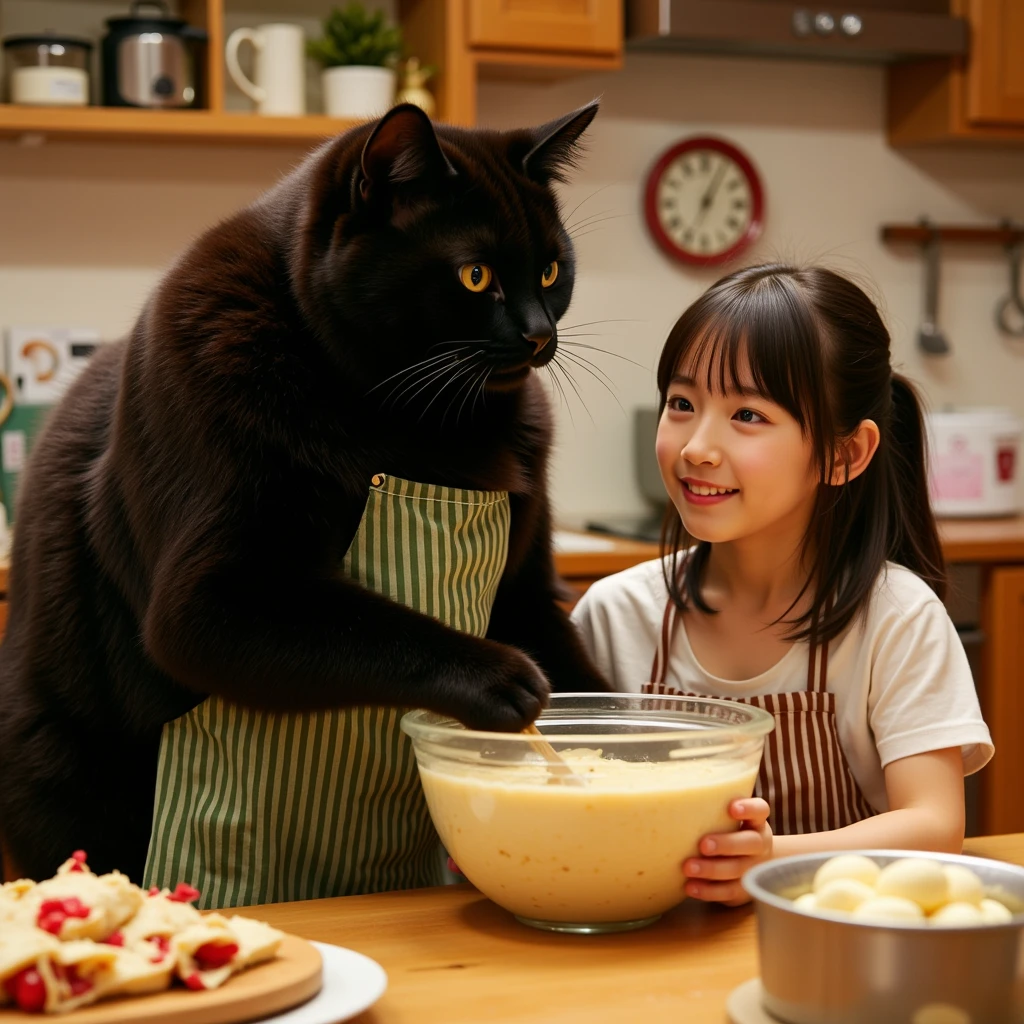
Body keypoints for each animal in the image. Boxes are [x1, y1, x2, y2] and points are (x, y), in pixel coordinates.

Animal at [0, 105, 606, 888]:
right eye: (476, 277)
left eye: (552, 270)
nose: (540, 333)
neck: (423, 421)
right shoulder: (209, 602)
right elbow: (381, 629)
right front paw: (507, 681)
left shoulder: (526, 585)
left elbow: (562, 645)